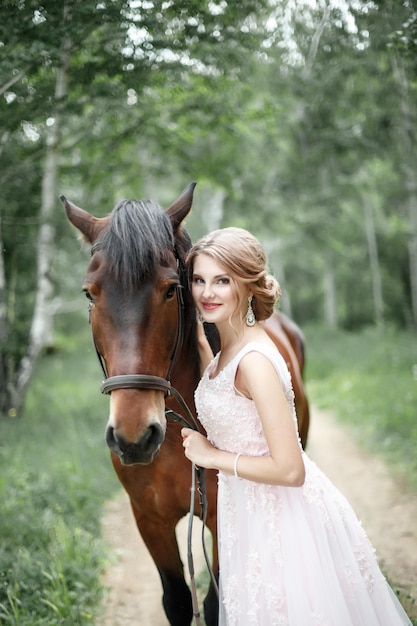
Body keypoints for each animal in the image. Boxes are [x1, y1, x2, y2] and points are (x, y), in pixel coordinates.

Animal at [61, 182, 308, 624]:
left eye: (170, 289)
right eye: (90, 293)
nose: (134, 437)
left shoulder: (221, 519)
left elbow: (215, 603)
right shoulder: (150, 519)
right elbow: (176, 599)